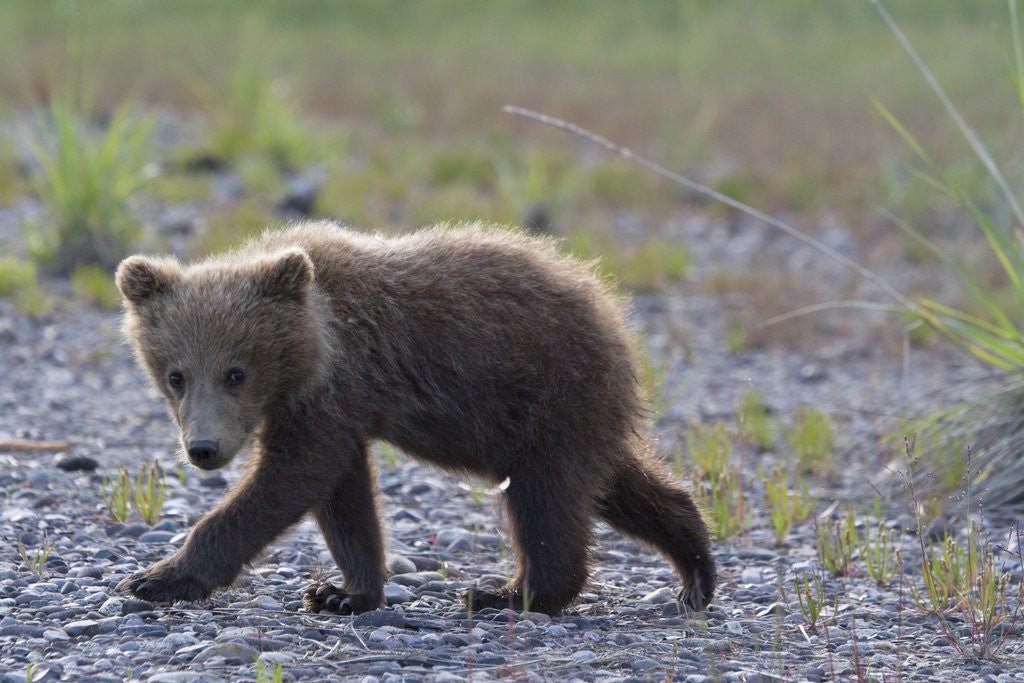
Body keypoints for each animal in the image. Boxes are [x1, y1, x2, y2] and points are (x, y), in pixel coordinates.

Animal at [114, 221, 715, 615]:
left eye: (236, 372)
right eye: (176, 375)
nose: (203, 449)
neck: (318, 339)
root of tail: (613, 313)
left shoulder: (336, 388)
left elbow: (291, 476)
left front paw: (159, 576)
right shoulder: (335, 407)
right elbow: (343, 496)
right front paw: (343, 592)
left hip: (550, 399)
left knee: (546, 500)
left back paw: (505, 594)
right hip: (571, 418)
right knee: (616, 485)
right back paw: (696, 570)